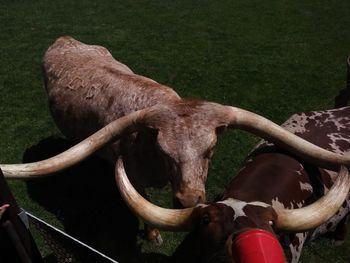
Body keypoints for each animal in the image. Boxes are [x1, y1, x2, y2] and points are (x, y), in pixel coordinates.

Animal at [2, 37, 350, 248]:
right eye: (164, 151)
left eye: (210, 150)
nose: (189, 200)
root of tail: (66, 40)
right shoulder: (134, 179)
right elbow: (143, 208)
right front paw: (154, 234)